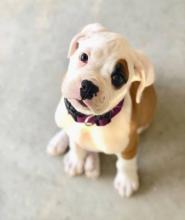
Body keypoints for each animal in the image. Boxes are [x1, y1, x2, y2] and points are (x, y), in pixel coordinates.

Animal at [47, 23, 156, 197]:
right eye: (83, 57)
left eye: (118, 78)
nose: (88, 86)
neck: (89, 121)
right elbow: (76, 144)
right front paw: (76, 159)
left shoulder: (129, 143)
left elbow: (126, 161)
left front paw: (126, 180)